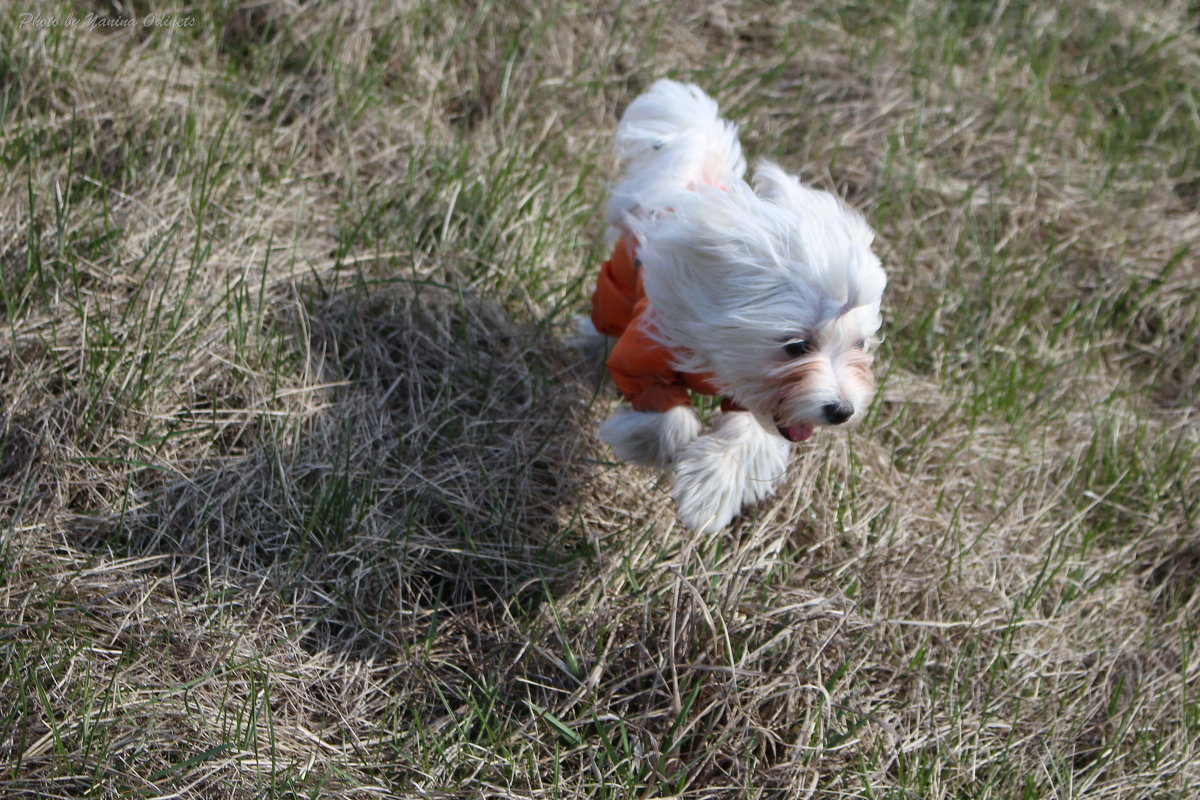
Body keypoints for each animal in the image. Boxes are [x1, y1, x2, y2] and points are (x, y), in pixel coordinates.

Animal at [585, 79, 888, 532]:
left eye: (860, 345)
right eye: (796, 346)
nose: (841, 410)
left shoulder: (757, 400)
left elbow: (747, 433)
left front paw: (709, 491)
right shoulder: (647, 348)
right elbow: (667, 414)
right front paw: (655, 449)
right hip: (619, 282)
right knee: (606, 315)